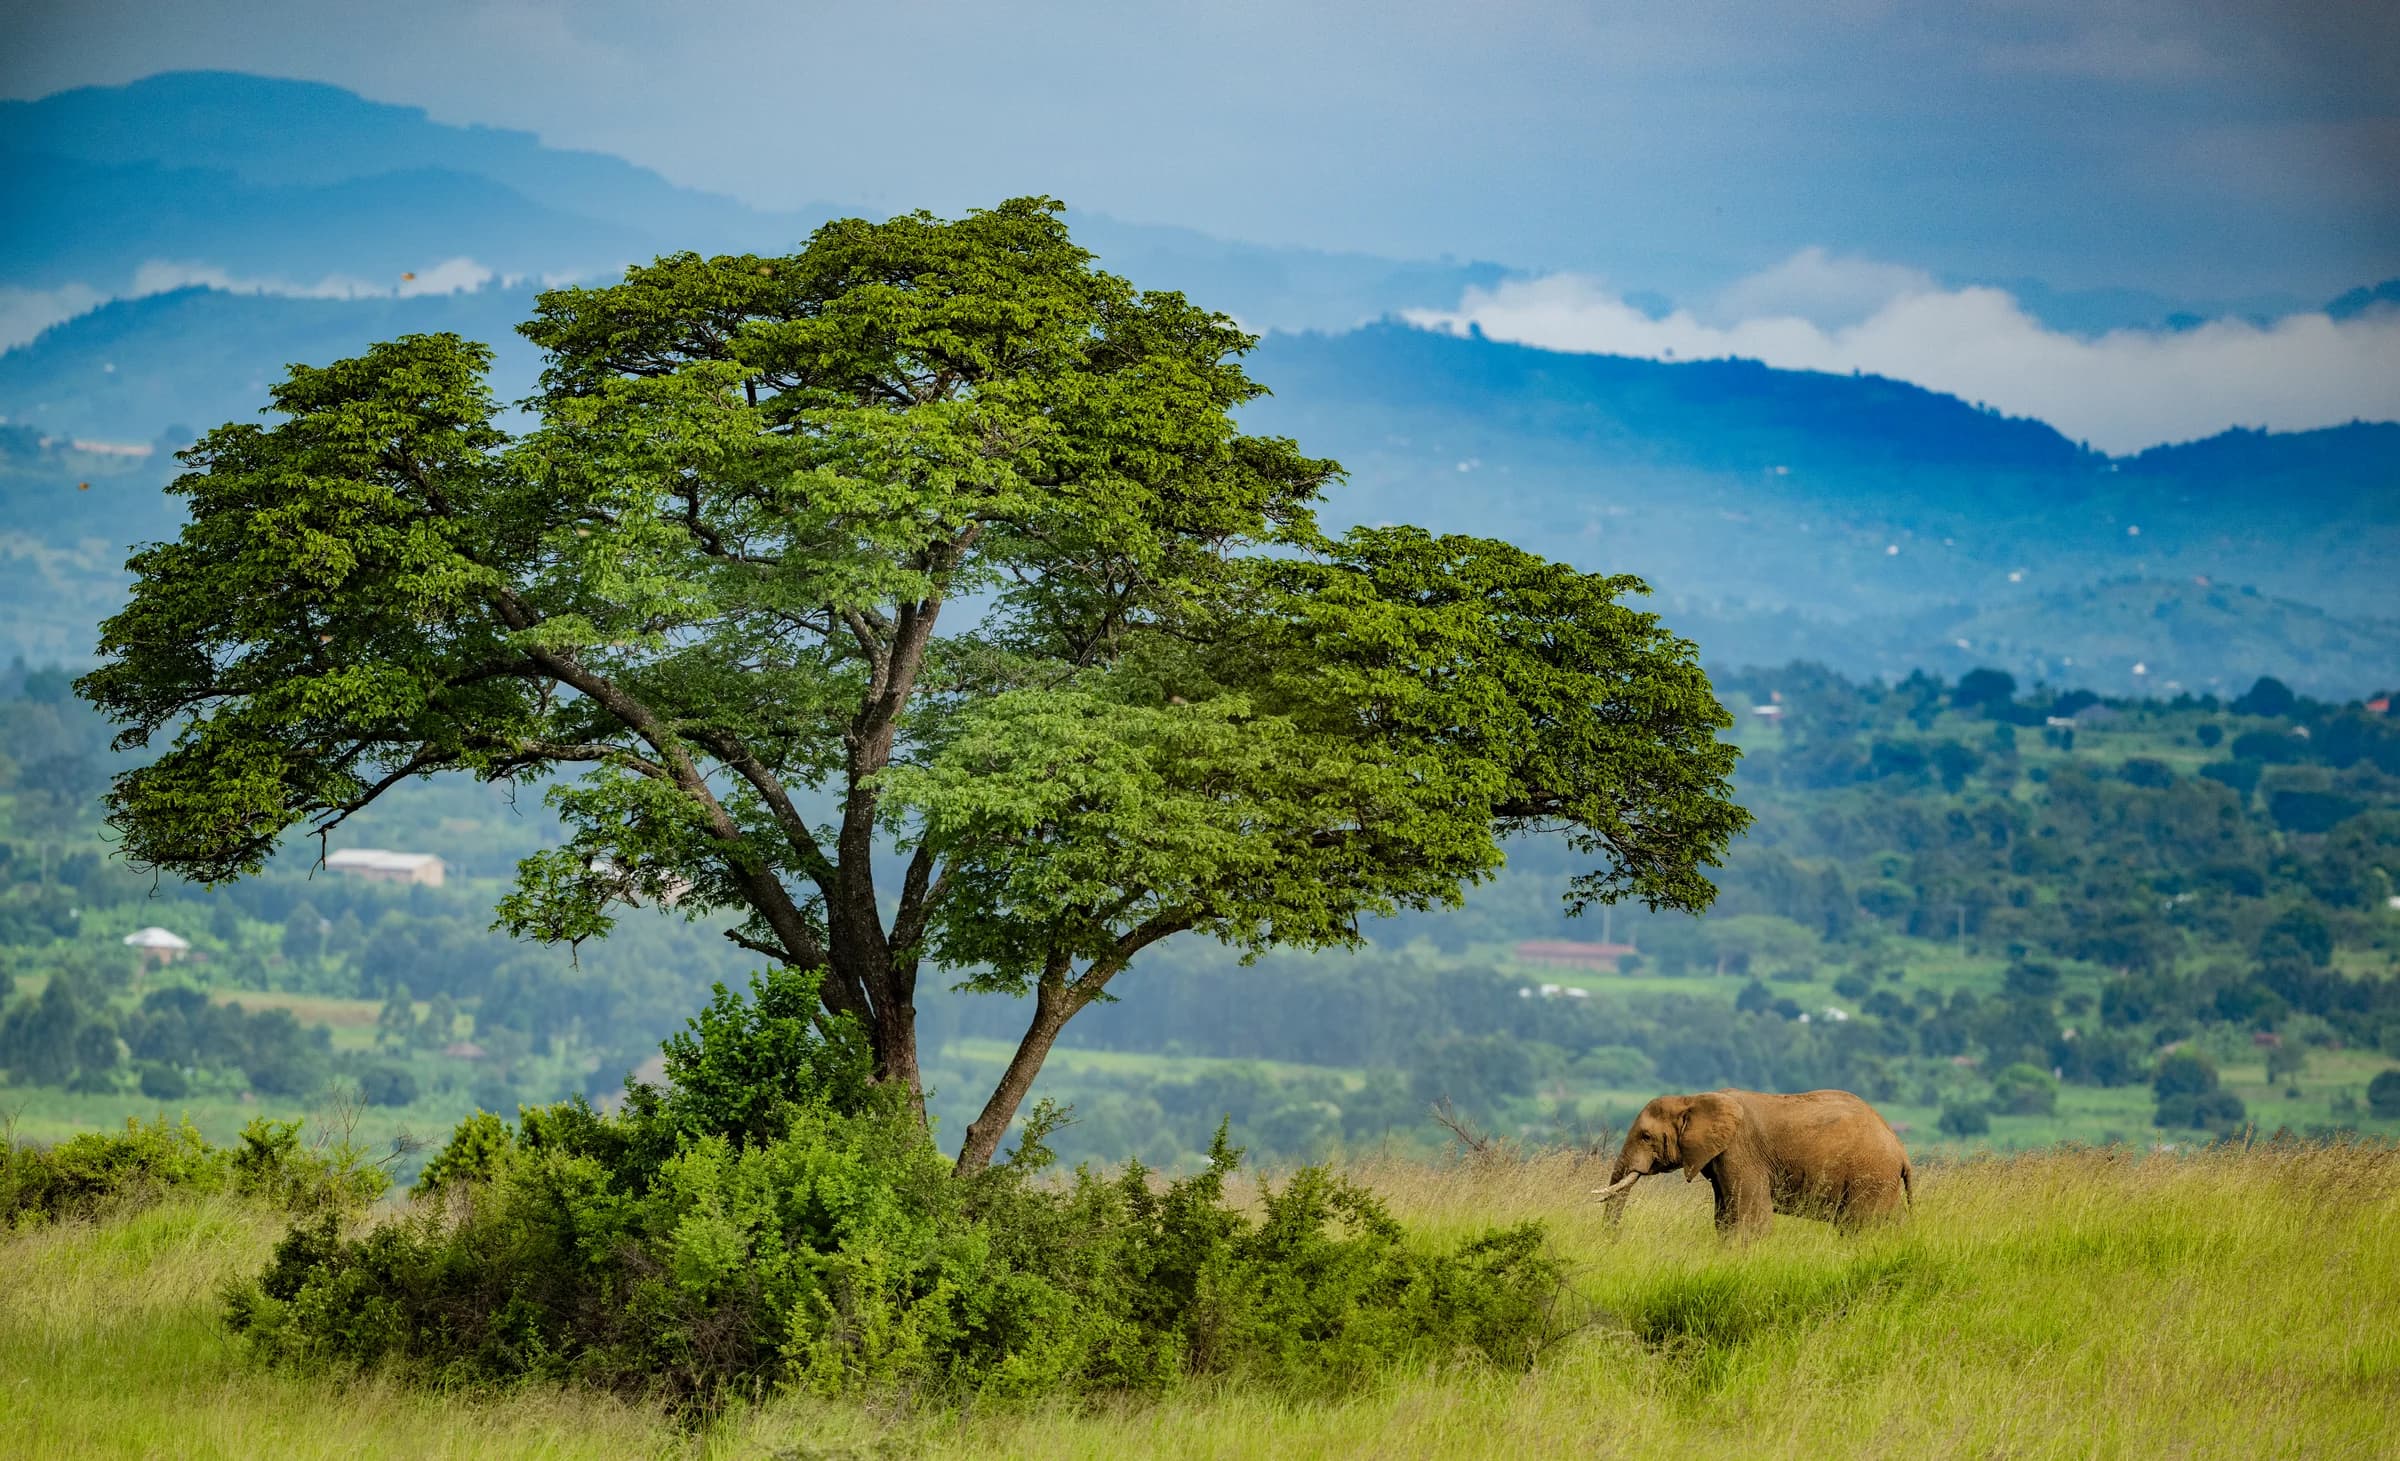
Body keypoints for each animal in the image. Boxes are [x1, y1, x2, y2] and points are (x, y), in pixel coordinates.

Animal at [1591, 1088, 1913, 1237]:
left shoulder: (1741, 1154)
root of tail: (1901, 1150)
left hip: (1871, 1175)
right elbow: (1724, 1219)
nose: (1615, 1239)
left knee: (1861, 1227)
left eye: (1646, 1136)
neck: (1693, 1099)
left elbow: (1752, 1219)